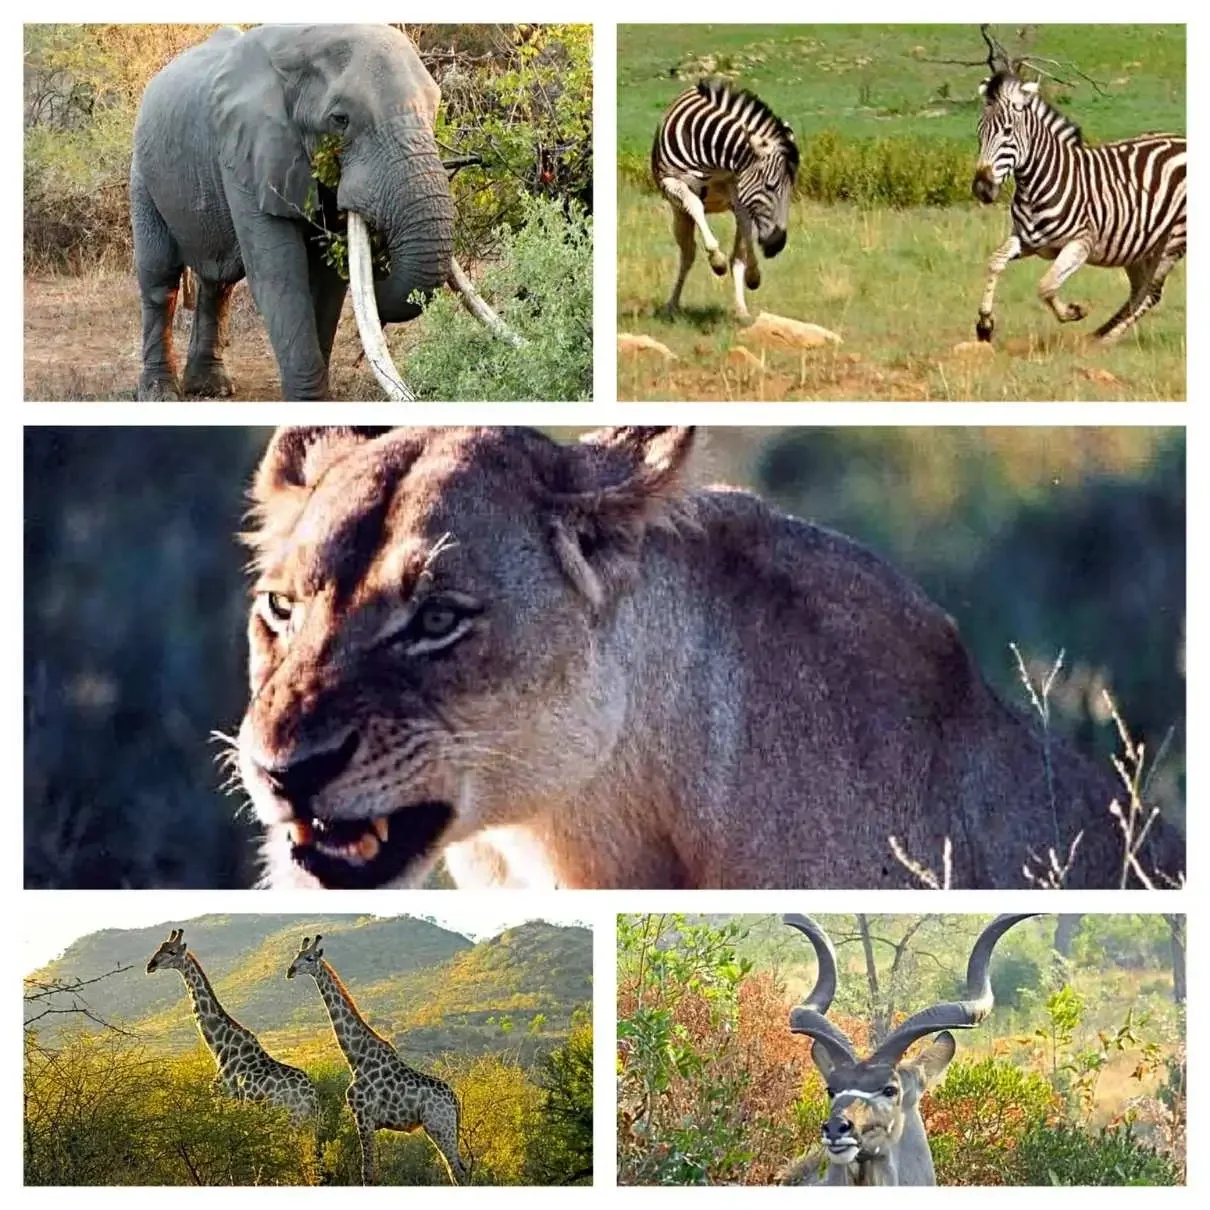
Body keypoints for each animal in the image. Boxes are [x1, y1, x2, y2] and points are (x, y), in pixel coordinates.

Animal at [130, 24, 514, 401]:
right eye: (340, 120)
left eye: (435, 110)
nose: (382, 269)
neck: (303, 41)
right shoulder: (248, 154)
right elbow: (279, 274)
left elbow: (328, 280)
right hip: (143, 173)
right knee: (160, 276)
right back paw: (160, 393)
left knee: (217, 282)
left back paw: (211, 388)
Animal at [651, 79, 799, 320]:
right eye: (770, 186)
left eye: (791, 190)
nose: (777, 245)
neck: (711, 157)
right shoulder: (672, 183)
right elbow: (696, 206)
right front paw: (716, 260)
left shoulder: (737, 190)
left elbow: (744, 241)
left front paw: (753, 275)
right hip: (679, 214)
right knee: (687, 255)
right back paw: (672, 305)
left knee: (737, 255)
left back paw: (741, 309)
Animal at [972, 70, 1186, 344]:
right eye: (980, 132)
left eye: (1008, 132)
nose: (982, 188)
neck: (1038, 184)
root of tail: (1182, 141)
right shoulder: (1027, 240)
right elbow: (995, 261)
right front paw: (984, 324)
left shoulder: (1081, 243)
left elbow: (1046, 286)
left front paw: (1074, 311)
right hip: (1139, 246)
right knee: (1140, 290)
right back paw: (1098, 333)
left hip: (1174, 240)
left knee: (1151, 292)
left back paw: (1109, 338)